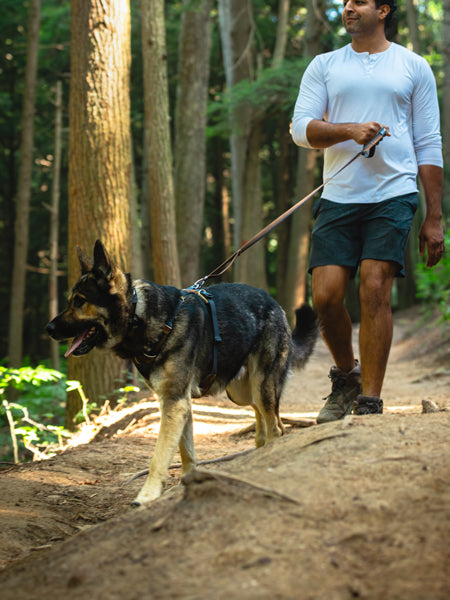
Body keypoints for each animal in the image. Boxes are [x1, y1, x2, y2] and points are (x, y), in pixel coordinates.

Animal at [47, 241, 318, 504]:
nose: (48, 328)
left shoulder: (174, 403)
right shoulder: (178, 405)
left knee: (276, 427)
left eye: (80, 301)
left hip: (261, 386)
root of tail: (275, 303)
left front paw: (147, 495)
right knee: (266, 419)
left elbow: (159, 456)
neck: (140, 316)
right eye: (71, 300)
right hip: (242, 392)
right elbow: (185, 451)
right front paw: (185, 483)